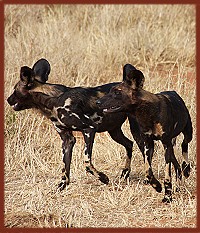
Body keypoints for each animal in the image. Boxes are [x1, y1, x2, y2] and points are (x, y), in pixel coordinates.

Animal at [6, 58, 144, 191]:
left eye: (14, 90)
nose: (8, 99)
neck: (52, 101)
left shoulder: (89, 129)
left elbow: (86, 162)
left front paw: (103, 178)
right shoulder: (67, 140)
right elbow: (65, 170)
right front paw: (60, 187)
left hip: (135, 130)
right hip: (114, 131)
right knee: (129, 144)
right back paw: (125, 173)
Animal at [97, 63, 192, 202]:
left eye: (117, 92)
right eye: (110, 91)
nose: (97, 102)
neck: (148, 113)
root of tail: (174, 93)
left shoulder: (165, 143)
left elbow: (167, 174)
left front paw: (167, 196)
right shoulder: (148, 144)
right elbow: (148, 170)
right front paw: (157, 186)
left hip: (187, 134)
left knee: (184, 145)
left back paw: (187, 169)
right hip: (169, 147)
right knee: (176, 164)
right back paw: (180, 180)